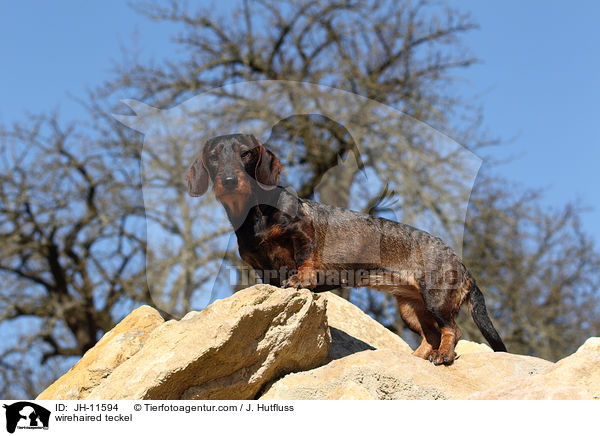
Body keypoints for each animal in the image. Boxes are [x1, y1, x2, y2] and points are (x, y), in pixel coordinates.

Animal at [186, 133, 506, 364]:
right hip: (411, 309)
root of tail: (460, 263)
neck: (254, 213)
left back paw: (444, 355)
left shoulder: (302, 232)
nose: (228, 180)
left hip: (436, 299)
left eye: (245, 153)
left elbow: (305, 258)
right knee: (431, 336)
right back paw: (415, 357)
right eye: (214, 156)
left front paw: (301, 278)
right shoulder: (262, 268)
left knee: (452, 330)